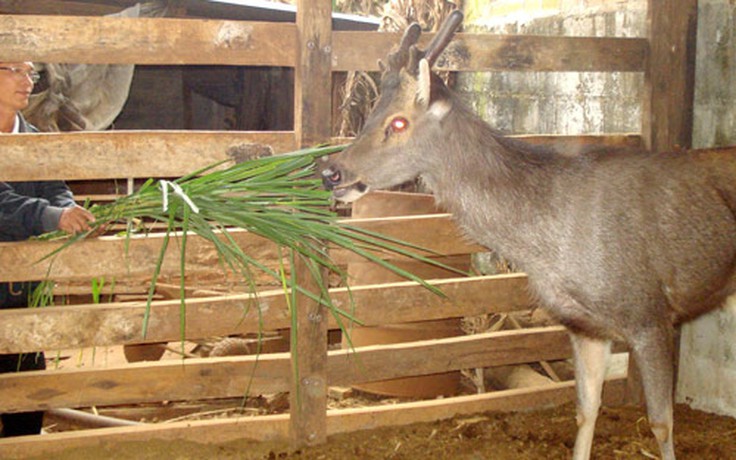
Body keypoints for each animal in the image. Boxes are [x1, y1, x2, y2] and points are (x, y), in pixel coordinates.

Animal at [322, 10, 736, 460]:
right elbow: (585, 410)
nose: (331, 171)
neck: (551, 249)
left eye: (398, 121)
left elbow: (661, 422)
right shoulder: (583, 325)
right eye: (371, 111)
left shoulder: (650, 312)